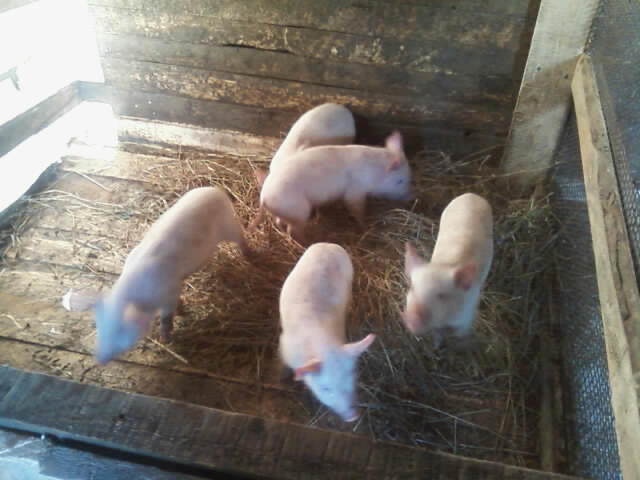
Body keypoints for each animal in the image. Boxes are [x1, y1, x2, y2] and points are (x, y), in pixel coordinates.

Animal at [90, 186, 250, 364]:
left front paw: (165, 337)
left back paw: (249, 255)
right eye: (99, 327)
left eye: (120, 331)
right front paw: (181, 312)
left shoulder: (169, 290)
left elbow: (167, 316)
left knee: (241, 238)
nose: (100, 359)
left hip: (230, 224)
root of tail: (214, 190)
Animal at [251, 131, 412, 243]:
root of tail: (264, 197)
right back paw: (307, 243)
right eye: (400, 181)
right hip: (299, 210)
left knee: (279, 222)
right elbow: (356, 208)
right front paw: (365, 226)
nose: (411, 198)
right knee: (293, 230)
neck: (373, 172)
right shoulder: (355, 192)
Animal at [278, 242, 376, 422]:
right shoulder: (284, 346)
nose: (354, 416)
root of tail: (328, 244)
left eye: (352, 377)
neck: (321, 343)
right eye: (325, 388)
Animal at [402, 193, 493, 347]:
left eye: (441, 296)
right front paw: (436, 346)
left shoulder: (466, 318)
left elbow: (460, 336)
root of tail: (471, 194)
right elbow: (437, 335)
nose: (412, 319)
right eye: (412, 288)